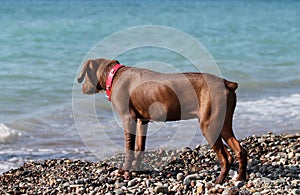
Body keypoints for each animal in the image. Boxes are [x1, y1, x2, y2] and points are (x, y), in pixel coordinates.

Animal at [78, 58, 247, 184]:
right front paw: (136, 168)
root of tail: (227, 83)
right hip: (223, 124)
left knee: (226, 158)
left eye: (84, 74)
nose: (82, 88)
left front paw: (125, 172)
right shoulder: (142, 121)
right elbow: (139, 147)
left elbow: (129, 148)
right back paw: (240, 178)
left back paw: (218, 181)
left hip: (209, 125)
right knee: (240, 150)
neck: (114, 76)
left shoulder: (128, 119)